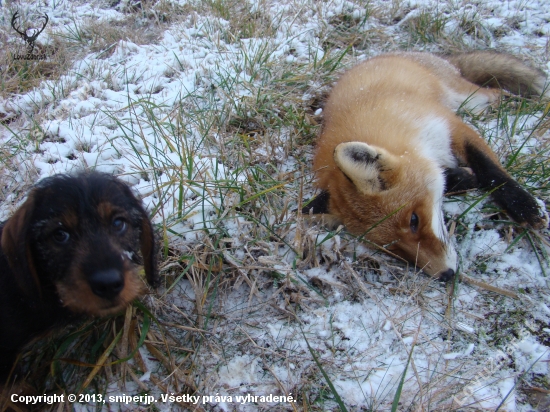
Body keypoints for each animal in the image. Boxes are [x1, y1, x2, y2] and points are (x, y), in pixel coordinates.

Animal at [308, 50, 548, 280]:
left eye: (414, 220)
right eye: (391, 248)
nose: (446, 275)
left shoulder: (450, 126)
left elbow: (490, 170)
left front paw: (524, 206)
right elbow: (445, 175)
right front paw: (461, 177)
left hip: (468, 98)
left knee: (495, 93)